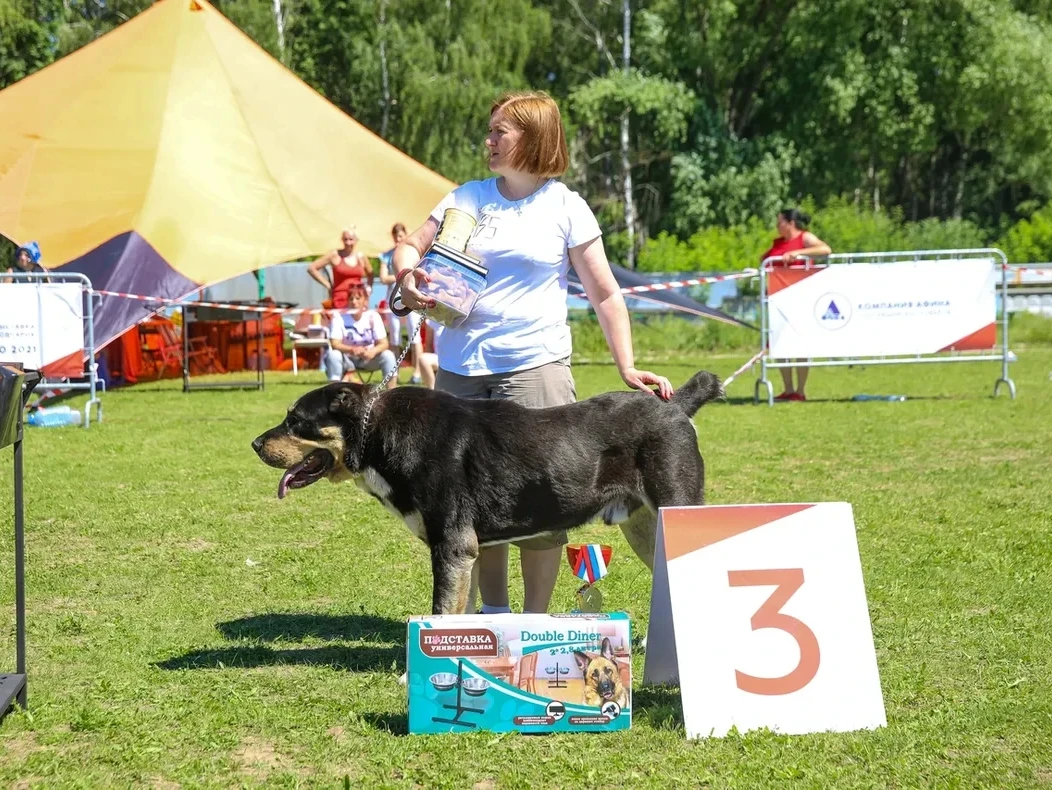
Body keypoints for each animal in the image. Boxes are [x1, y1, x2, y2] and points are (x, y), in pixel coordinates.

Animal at [252, 370, 723, 618]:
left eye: (295, 420)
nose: (255, 444)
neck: (379, 432)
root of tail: (674, 406)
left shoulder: (452, 545)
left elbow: (442, 608)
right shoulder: (465, 551)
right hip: (645, 527)